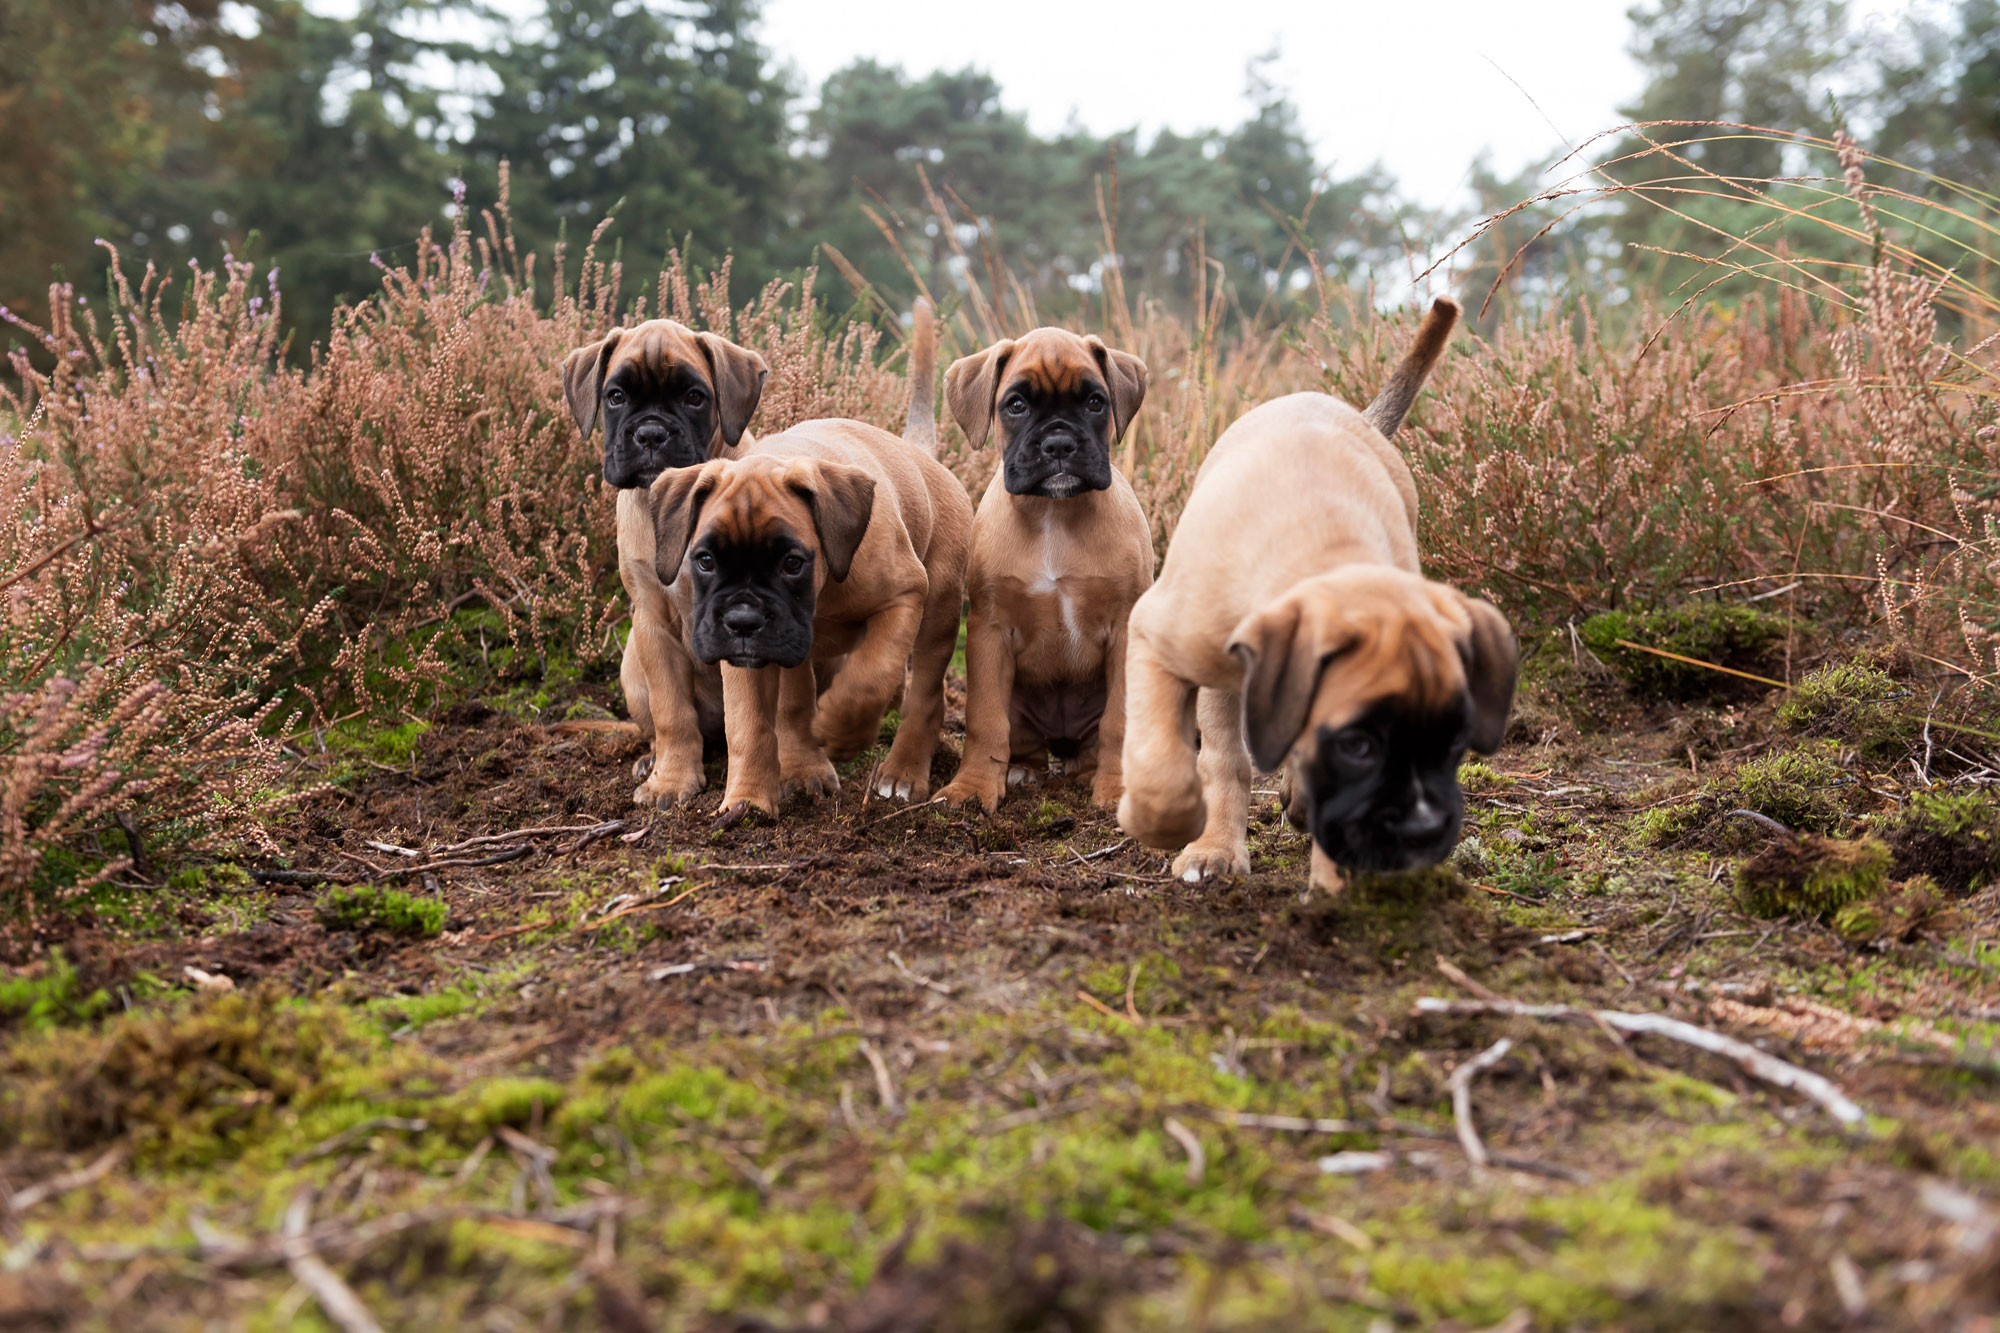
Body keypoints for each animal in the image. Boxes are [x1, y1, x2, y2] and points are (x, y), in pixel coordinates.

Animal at [572, 320, 780, 808]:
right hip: (632, 665)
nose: (650, 433)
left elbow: (747, 719)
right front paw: (670, 780)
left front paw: (747, 796)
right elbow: (672, 712)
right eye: (616, 396)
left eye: (694, 397)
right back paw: (651, 759)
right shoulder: (652, 622)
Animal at [644, 304, 964, 816]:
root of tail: (920, 454)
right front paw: (748, 801)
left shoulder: (903, 597)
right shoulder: (748, 656)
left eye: (792, 563)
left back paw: (901, 773)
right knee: (794, 701)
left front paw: (843, 730)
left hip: (938, 613)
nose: (742, 620)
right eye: (705, 560)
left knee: (925, 697)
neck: (823, 589)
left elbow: (871, 675)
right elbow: (750, 724)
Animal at [928, 326, 1152, 816]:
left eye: (1095, 402)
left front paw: (1117, 790)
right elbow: (985, 720)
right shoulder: (990, 632)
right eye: (1016, 405)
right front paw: (972, 788)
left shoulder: (1125, 629)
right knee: (1021, 741)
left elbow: (1120, 721)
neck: (1055, 514)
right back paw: (1021, 771)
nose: (1059, 444)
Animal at [1112, 298, 1512, 892]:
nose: (1417, 835)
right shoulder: (1156, 638)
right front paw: (1189, 835)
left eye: (1451, 743)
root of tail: (1358, 415)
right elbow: (1187, 760)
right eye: (1358, 745)